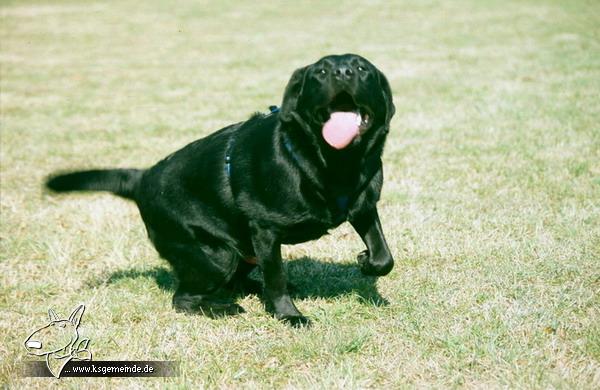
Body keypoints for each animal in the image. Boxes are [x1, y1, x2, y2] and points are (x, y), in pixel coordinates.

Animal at [45, 52, 394, 326]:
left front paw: (366, 259)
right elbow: (276, 278)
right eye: (320, 72)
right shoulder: (265, 230)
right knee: (184, 297)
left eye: (362, 68)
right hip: (215, 254)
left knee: (240, 278)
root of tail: (142, 178)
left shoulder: (365, 207)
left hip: (238, 249)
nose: (342, 72)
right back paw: (224, 308)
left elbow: (384, 257)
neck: (335, 164)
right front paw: (289, 316)